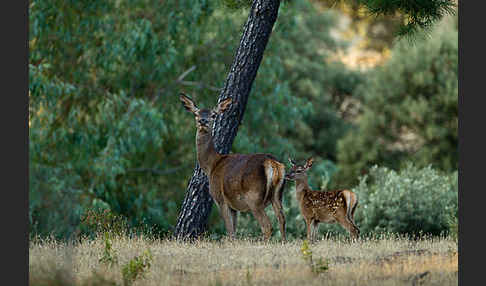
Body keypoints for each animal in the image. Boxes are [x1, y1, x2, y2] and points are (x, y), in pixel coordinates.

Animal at [179, 93, 286, 241]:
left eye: (213, 115)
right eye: (196, 113)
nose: (202, 121)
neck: (212, 165)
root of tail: (272, 163)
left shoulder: (220, 198)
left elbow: (230, 231)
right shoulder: (234, 205)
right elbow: (233, 230)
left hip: (254, 196)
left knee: (267, 226)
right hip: (277, 194)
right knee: (282, 219)